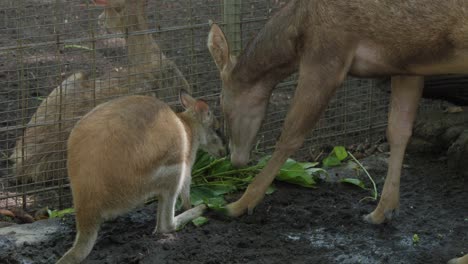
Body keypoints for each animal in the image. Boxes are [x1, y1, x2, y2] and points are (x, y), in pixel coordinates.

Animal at [56, 90, 225, 264]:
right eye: (218, 130)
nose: (224, 153)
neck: (188, 125)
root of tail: (87, 206)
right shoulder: (187, 159)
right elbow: (187, 185)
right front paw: (188, 206)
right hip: (169, 171)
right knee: (165, 226)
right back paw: (197, 210)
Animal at [207, 1, 468, 262]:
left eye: (220, 103)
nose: (233, 158)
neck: (297, 31)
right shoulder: (406, 64)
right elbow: (398, 130)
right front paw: (382, 211)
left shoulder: (327, 54)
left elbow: (290, 135)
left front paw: (237, 205)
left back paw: (459, 257)